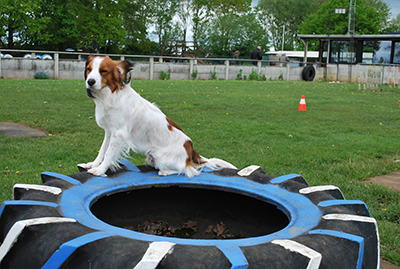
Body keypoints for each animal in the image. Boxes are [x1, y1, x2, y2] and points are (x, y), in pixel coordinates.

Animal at [78, 55, 236, 177]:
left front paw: (99, 170)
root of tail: (191, 150)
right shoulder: (109, 132)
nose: (90, 81)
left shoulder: (119, 134)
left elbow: (109, 154)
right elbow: (102, 151)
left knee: (188, 170)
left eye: (103, 71)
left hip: (161, 158)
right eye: (89, 69)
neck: (111, 96)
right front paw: (93, 164)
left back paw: (166, 172)